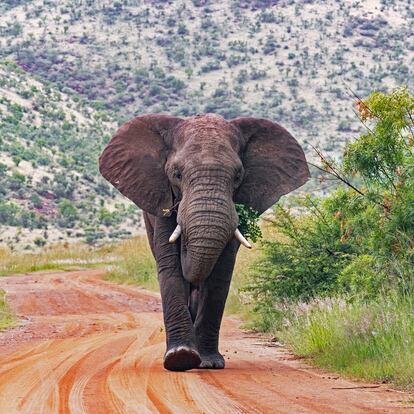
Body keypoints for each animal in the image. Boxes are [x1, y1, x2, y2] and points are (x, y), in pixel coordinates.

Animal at [98, 113, 308, 372]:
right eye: (176, 174)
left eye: (238, 176)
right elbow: (170, 267)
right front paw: (180, 358)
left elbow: (219, 273)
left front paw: (208, 363)